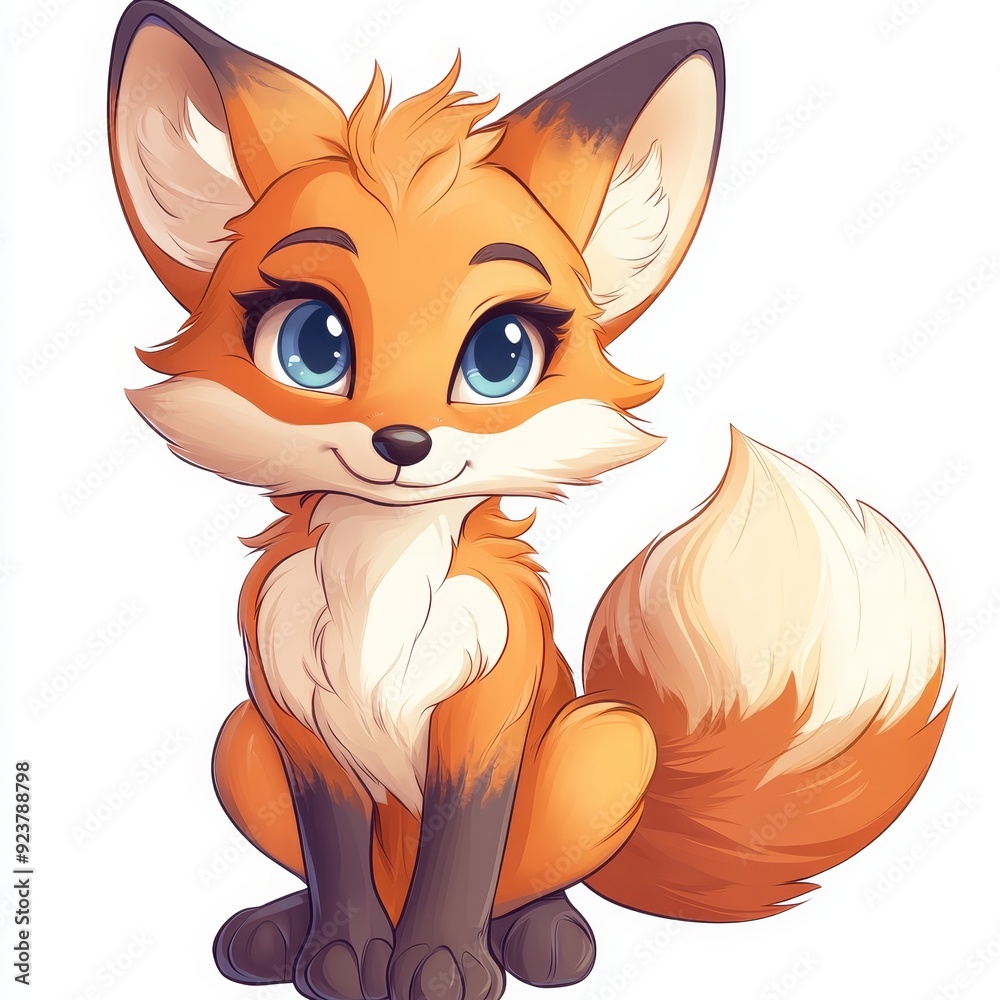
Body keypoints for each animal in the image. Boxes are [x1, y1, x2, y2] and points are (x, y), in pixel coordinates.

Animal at [107, 4, 950, 999]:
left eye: (499, 354)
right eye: (315, 345)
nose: (403, 444)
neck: (380, 579)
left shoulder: (486, 717)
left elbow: (462, 856)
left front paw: (439, 964)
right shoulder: (292, 720)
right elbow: (336, 858)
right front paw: (343, 957)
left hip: (610, 739)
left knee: (523, 886)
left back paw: (544, 935)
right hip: (238, 743)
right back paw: (281, 931)